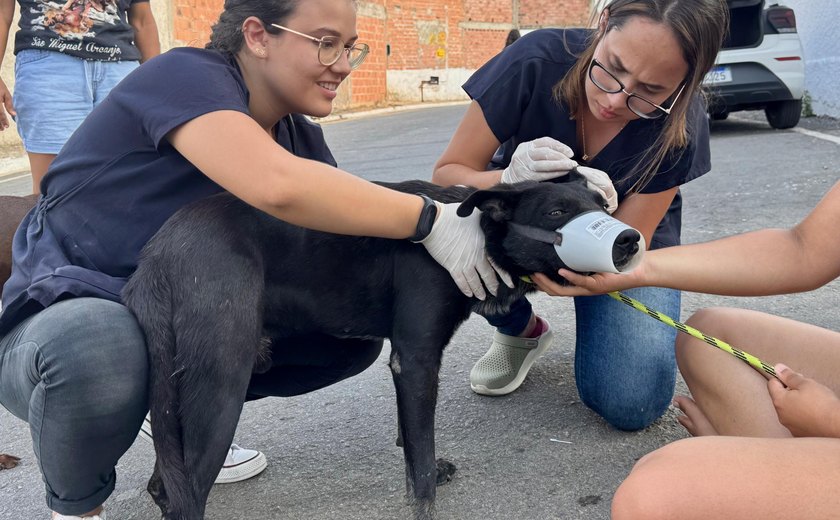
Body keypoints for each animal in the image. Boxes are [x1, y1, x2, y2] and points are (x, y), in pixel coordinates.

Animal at [121, 173, 640, 516]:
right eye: (556, 214)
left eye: (603, 206)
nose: (630, 240)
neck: (473, 232)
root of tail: (157, 254)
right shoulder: (416, 358)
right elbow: (421, 463)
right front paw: (425, 501)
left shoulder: (407, 363)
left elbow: (413, 439)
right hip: (220, 384)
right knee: (185, 490)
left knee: (165, 482)